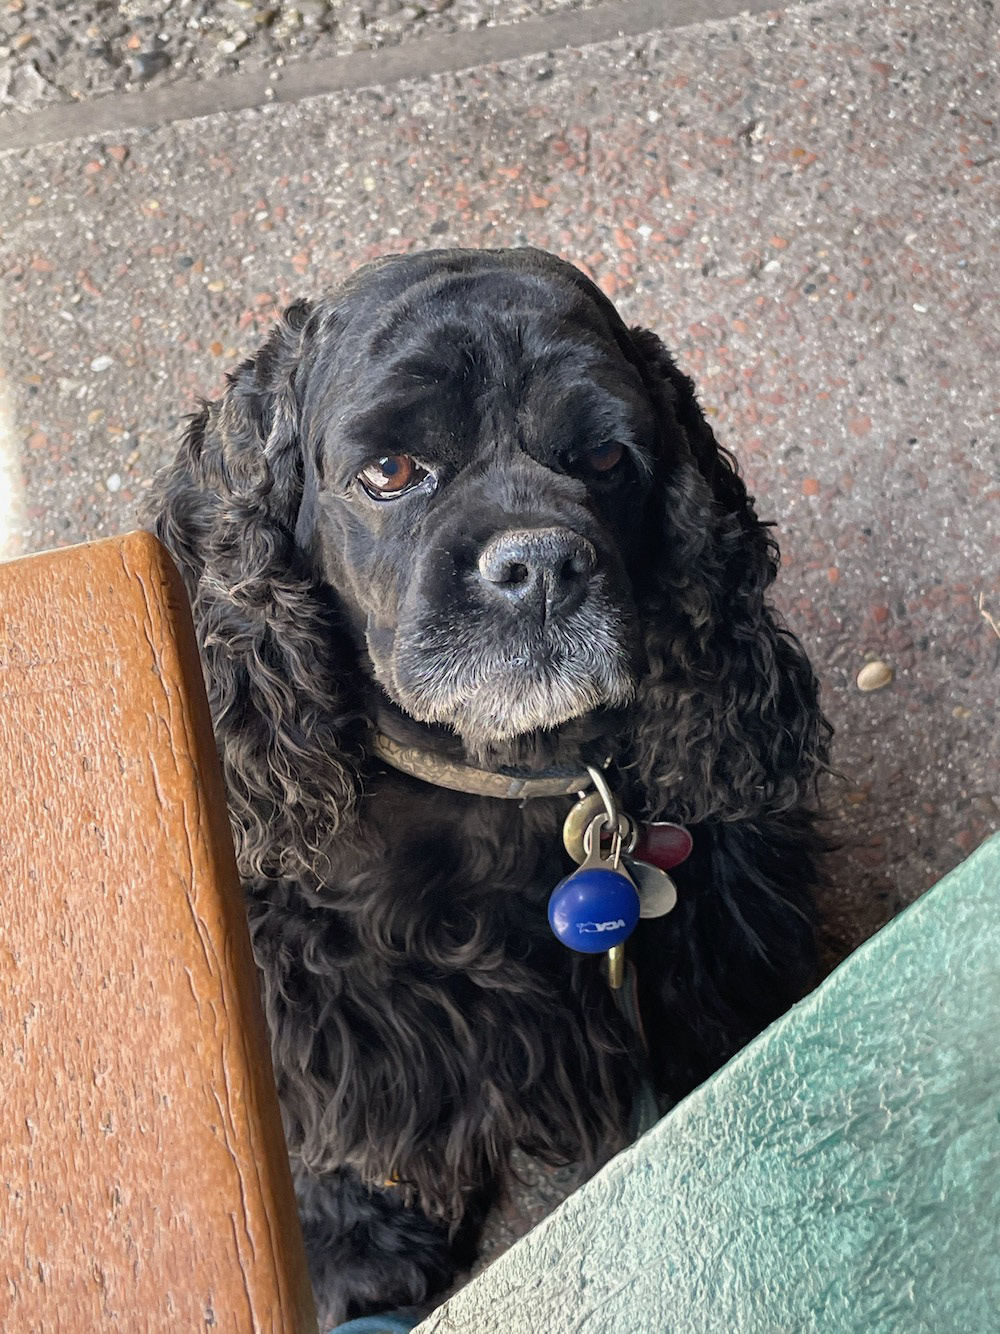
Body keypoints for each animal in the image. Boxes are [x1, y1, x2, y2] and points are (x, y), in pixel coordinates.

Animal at [150, 247, 830, 1330]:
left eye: (606, 458)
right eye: (389, 472)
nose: (540, 562)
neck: (493, 780)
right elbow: (339, 1119)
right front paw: (357, 1244)